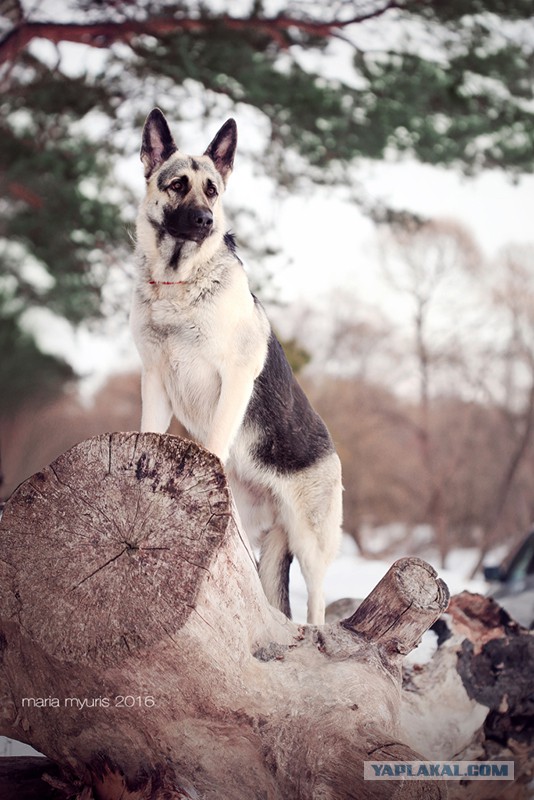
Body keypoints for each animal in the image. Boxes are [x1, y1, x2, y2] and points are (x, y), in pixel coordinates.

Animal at [132, 109, 346, 624]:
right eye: (177, 185)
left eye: (212, 190)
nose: (206, 220)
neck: (179, 284)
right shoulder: (155, 381)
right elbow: (149, 431)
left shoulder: (234, 378)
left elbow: (212, 443)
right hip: (256, 535)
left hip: (310, 543)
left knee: (317, 602)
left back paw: (317, 631)